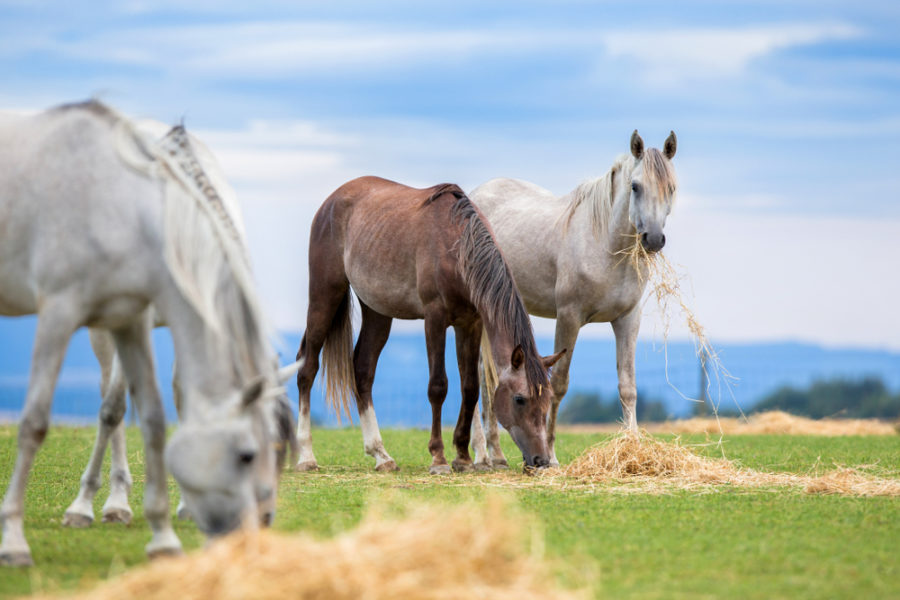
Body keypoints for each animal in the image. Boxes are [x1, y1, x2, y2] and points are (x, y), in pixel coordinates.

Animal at [0, 101, 292, 564]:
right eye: (250, 453)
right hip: (100, 330)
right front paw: (93, 505)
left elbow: (176, 403)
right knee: (111, 405)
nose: (262, 520)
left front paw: (184, 506)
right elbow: (114, 409)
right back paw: (104, 503)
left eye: (282, 448)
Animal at [296, 176, 564, 476]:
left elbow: (470, 388)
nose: (541, 461)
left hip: (377, 311)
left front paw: (463, 458)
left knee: (363, 370)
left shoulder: (470, 323)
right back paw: (306, 456)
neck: (457, 247)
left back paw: (381, 455)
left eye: (547, 398)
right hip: (325, 294)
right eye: (520, 399)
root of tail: (332, 200)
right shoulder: (434, 319)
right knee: (307, 367)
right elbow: (438, 386)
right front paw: (439, 458)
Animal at [472, 131, 676, 468]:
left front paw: (633, 447)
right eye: (635, 186)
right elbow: (558, 385)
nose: (655, 239)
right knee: (478, 378)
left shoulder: (627, 319)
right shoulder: (569, 317)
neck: (603, 244)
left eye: (671, 188)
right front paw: (552, 456)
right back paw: (483, 454)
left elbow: (628, 386)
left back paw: (492, 454)